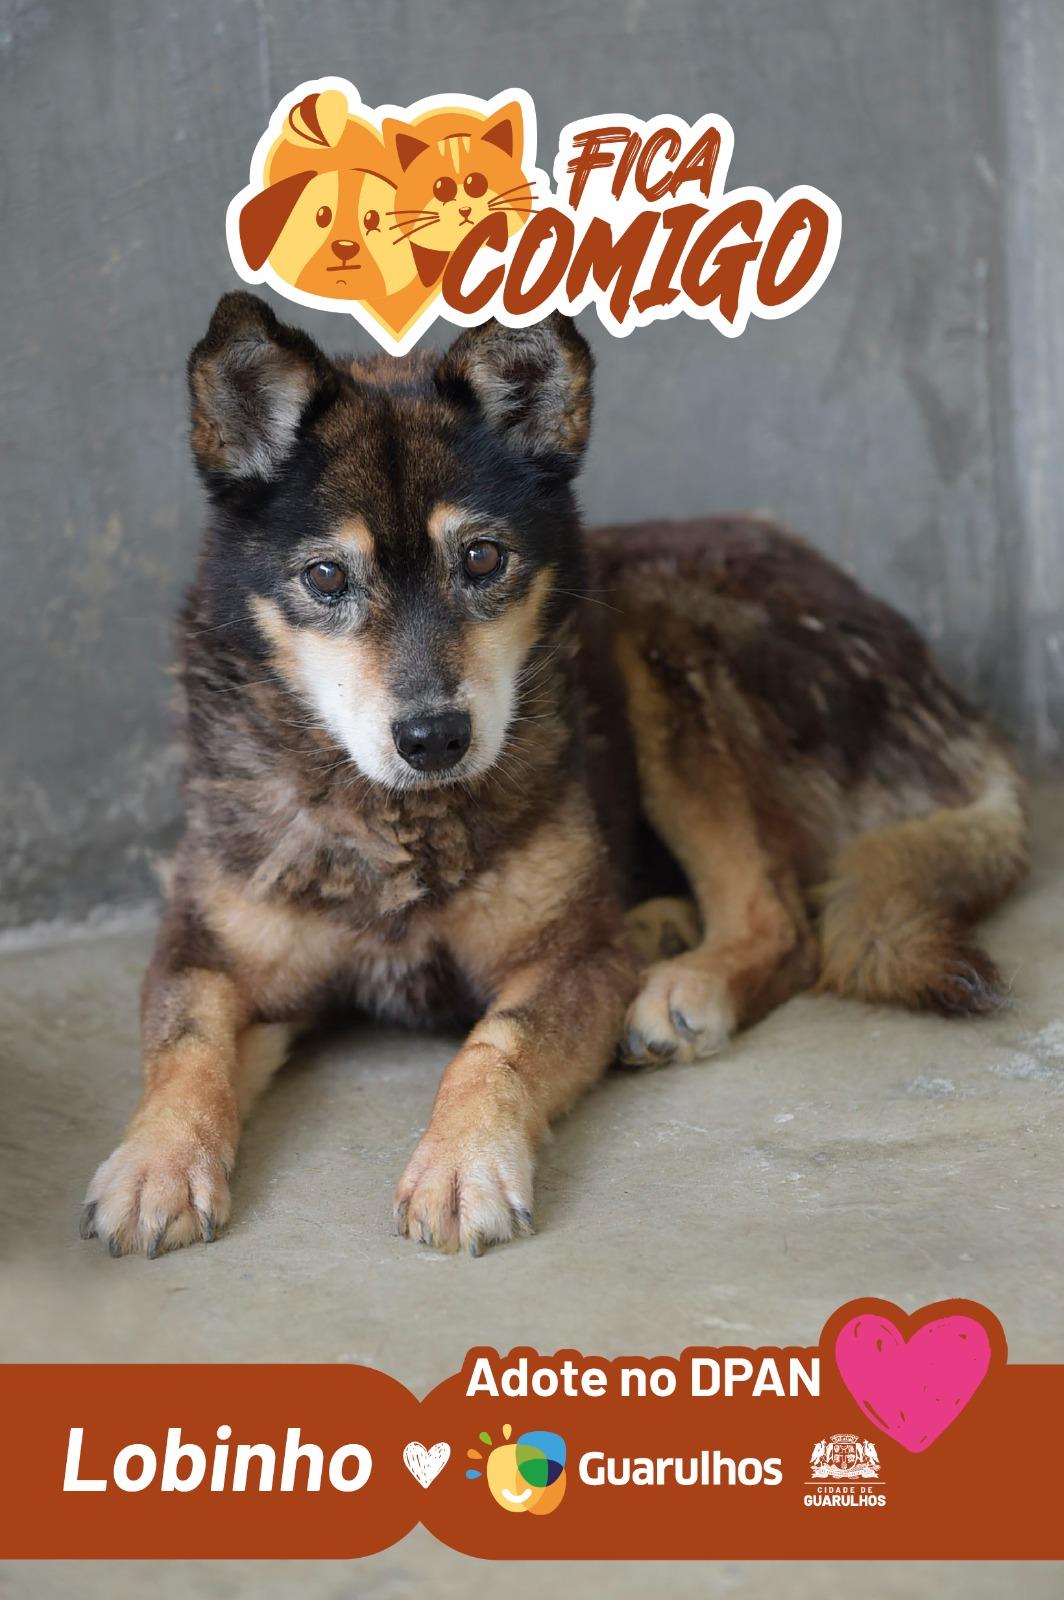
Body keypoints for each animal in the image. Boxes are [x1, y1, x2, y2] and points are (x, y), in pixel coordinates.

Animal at [80, 292, 1028, 1258]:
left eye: (482, 559)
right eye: (325, 576)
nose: (434, 738)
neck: (395, 822)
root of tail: (955, 701)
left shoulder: (570, 959)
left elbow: (498, 1041)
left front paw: (462, 1163)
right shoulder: (209, 957)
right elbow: (185, 1048)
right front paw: (159, 1164)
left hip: (659, 624)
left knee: (784, 918)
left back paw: (684, 983)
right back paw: (657, 927)